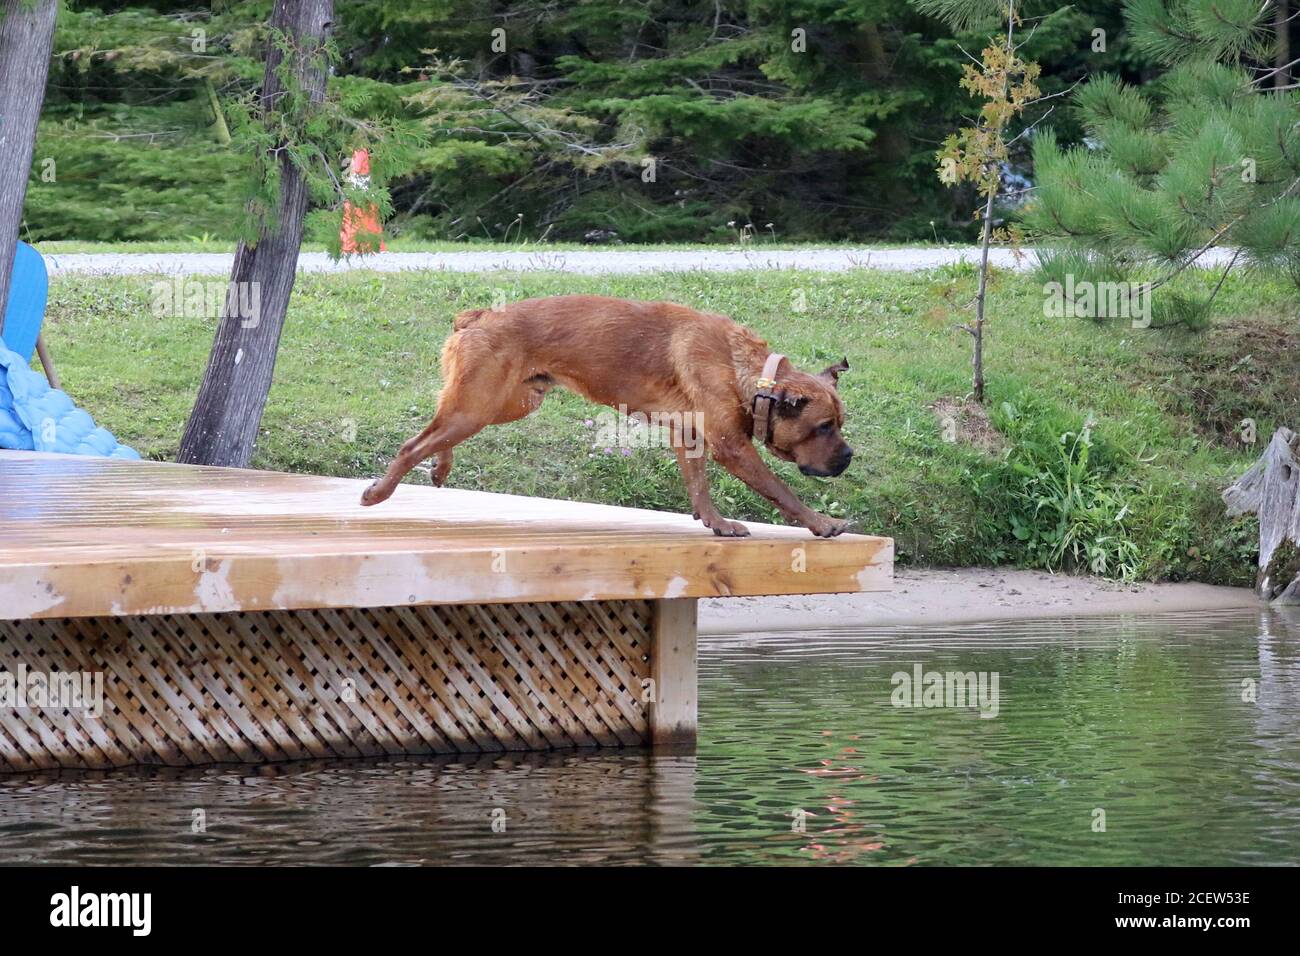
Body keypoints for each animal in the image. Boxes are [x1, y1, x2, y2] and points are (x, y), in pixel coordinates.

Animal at [364, 297, 852, 538]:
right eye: (823, 427)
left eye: (839, 424)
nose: (848, 457)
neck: (750, 374)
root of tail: (479, 315)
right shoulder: (732, 447)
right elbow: (780, 490)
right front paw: (823, 523)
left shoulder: (690, 436)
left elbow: (698, 487)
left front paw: (714, 523)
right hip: (479, 406)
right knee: (414, 443)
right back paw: (379, 493)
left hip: (504, 404)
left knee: (435, 429)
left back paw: (440, 468)